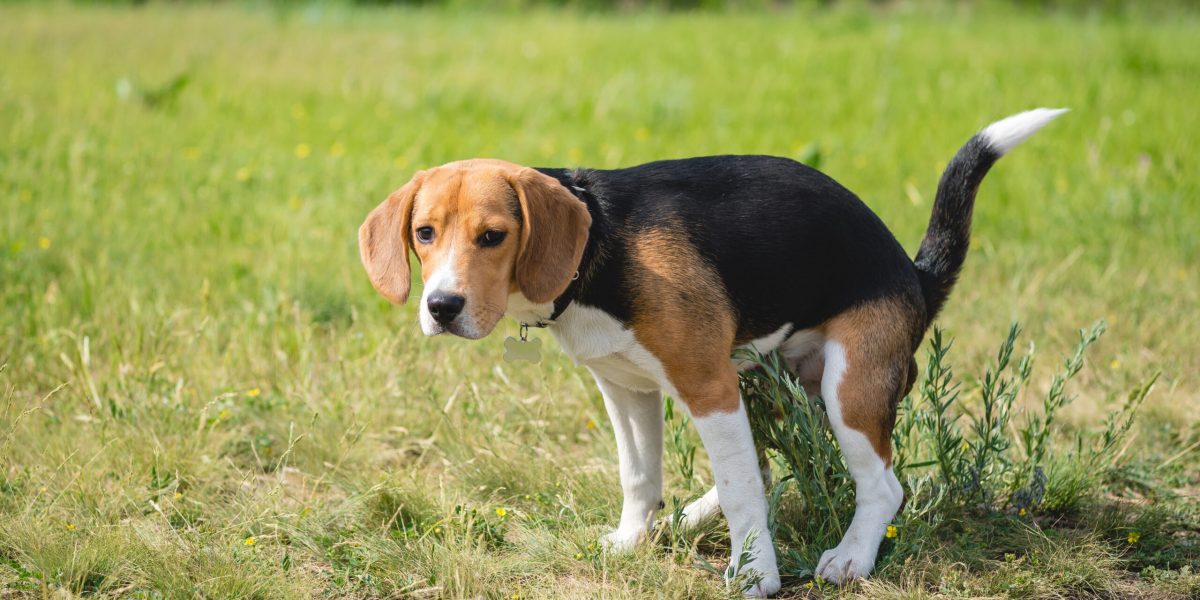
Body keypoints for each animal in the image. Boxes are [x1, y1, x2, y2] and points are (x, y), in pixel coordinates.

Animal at [360, 109, 1065, 595]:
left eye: (493, 236)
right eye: (424, 233)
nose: (441, 307)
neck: (598, 246)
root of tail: (915, 274)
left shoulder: (707, 385)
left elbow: (741, 488)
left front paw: (756, 575)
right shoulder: (627, 389)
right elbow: (640, 476)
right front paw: (631, 541)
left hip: (847, 387)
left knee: (881, 486)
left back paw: (849, 558)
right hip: (770, 383)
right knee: (767, 463)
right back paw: (691, 517)